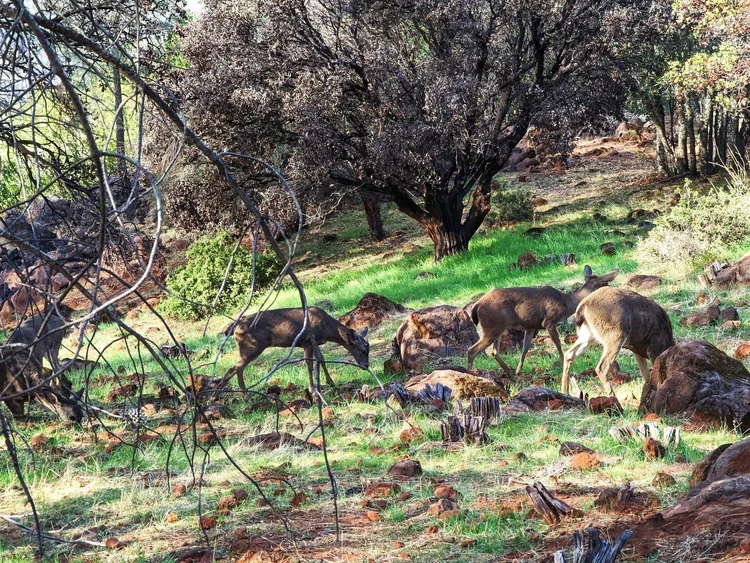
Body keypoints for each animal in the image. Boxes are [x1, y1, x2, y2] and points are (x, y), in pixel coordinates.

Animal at [220, 307, 370, 393]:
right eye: (363, 351)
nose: (366, 365)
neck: (326, 329)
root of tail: (235, 328)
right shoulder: (307, 341)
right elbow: (309, 364)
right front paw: (312, 389)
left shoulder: (316, 342)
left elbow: (321, 360)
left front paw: (331, 382)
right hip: (251, 346)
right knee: (232, 369)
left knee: (238, 368)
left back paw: (243, 391)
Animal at [467, 266, 619, 377]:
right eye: (605, 283)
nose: (612, 290)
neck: (566, 303)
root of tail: (477, 305)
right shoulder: (549, 321)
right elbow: (558, 344)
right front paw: (562, 363)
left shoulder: (530, 326)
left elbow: (525, 348)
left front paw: (519, 370)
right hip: (492, 325)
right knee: (472, 350)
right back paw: (470, 374)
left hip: (497, 327)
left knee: (494, 352)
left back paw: (510, 374)